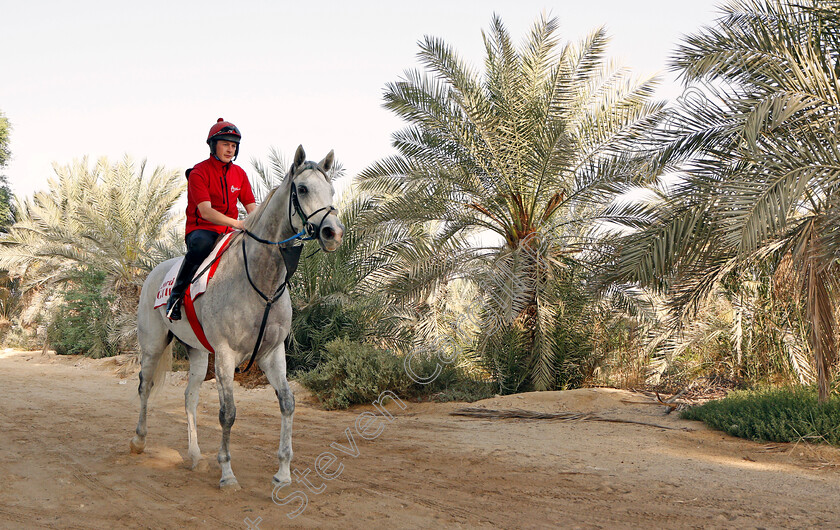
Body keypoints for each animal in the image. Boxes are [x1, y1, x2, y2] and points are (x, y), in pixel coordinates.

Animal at [129, 143, 344, 486]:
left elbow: (287, 403)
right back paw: (139, 440)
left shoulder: (272, 353)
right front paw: (227, 472)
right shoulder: (226, 354)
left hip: (198, 353)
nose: (333, 232)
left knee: (189, 397)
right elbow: (227, 413)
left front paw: (283, 472)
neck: (261, 279)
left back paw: (195, 456)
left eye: (331, 190)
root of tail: (154, 273)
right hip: (152, 346)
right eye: (302, 189)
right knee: (145, 386)